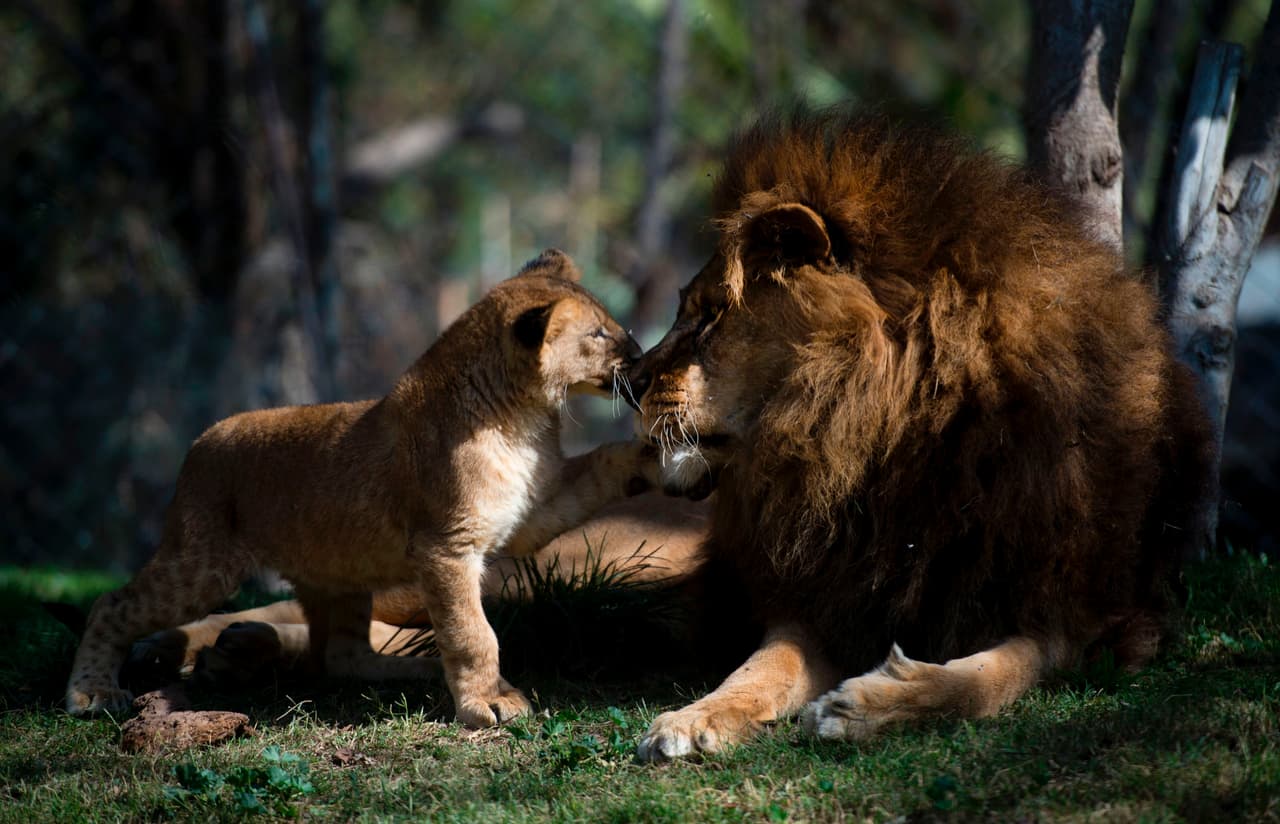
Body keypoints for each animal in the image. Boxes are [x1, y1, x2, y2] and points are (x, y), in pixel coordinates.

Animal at [66, 249, 661, 727]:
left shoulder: (529, 512)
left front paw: (651, 453)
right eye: (599, 334)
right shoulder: (446, 547)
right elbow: (472, 633)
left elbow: (598, 468)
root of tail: (202, 437)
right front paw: (488, 703)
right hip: (202, 562)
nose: (640, 354)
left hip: (343, 572)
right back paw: (91, 693)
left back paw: (418, 669)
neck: (526, 420)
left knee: (343, 656)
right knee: (113, 604)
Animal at [627, 108, 1214, 760]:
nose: (628, 378)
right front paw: (694, 717)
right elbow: (763, 666)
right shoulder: (830, 593)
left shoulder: (1069, 613)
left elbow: (983, 681)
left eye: (708, 320)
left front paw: (866, 706)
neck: (893, 445)